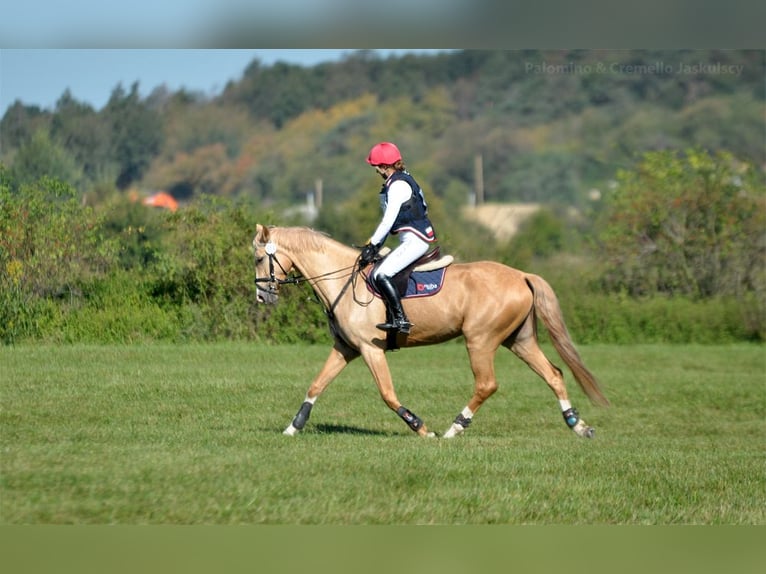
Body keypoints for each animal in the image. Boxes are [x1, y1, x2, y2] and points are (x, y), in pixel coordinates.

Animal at [254, 225, 612, 440]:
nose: (262, 296)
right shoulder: (346, 348)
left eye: (259, 258)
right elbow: (316, 385)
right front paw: (293, 427)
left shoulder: (370, 349)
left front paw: (420, 427)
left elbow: (387, 394)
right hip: (519, 340)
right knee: (554, 374)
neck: (341, 279)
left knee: (487, 384)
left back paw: (454, 428)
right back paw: (578, 426)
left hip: (480, 341)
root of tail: (522, 275)